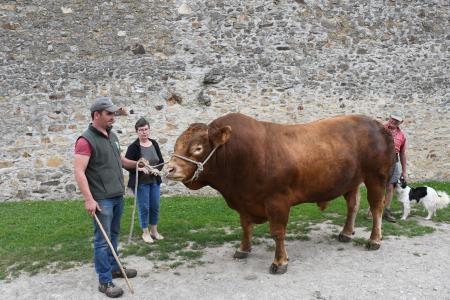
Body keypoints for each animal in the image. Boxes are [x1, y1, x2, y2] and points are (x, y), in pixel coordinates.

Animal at [165, 112, 394, 274]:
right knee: (353, 205)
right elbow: (245, 227)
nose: (168, 169)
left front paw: (280, 262)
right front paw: (243, 249)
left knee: (376, 207)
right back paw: (346, 233)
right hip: (352, 180)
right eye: (177, 144)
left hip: (376, 176)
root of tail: (377, 124)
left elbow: (277, 232)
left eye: (197, 148)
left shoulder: (277, 201)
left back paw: (374, 240)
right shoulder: (244, 202)